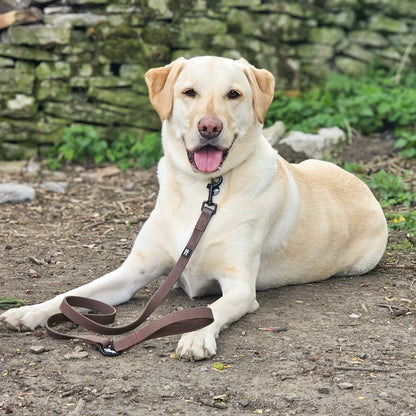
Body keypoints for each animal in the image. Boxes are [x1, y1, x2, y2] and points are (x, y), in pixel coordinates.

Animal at [0, 56, 388, 360]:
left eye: (234, 94)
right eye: (189, 93)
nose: (210, 127)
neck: (204, 191)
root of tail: (360, 183)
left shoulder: (239, 286)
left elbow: (211, 309)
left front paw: (195, 337)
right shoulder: (134, 272)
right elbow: (71, 294)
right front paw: (30, 312)